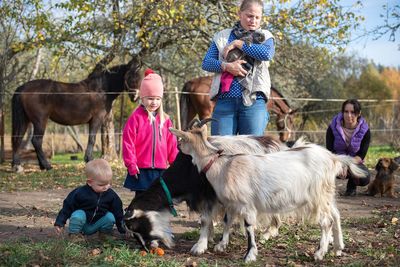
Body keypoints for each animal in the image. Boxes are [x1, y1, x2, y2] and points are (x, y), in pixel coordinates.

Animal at [11, 57, 142, 173]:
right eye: (129, 76)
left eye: (140, 78)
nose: (135, 97)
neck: (101, 90)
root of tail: (23, 88)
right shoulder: (97, 119)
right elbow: (92, 139)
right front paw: (89, 160)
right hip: (40, 120)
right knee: (36, 141)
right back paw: (47, 166)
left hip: (25, 120)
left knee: (19, 139)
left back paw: (20, 166)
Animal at [124, 134, 284, 255]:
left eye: (136, 226)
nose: (146, 247)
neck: (189, 168)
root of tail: (276, 144)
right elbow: (214, 219)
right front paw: (211, 238)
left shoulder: (210, 195)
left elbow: (208, 220)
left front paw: (200, 246)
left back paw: (269, 233)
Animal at [169, 126, 368, 264]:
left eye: (182, 141)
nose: (176, 145)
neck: (222, 165)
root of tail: (333, 158)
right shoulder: (233, 203)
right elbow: (229, 220)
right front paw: (221, 245)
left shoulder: (246, 204)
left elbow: (249, 227)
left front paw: (249, 255)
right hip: (326, 194)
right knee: (336, 215)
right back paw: (338, 248)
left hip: (317, 196)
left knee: (327, 221)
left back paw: (319, 253)